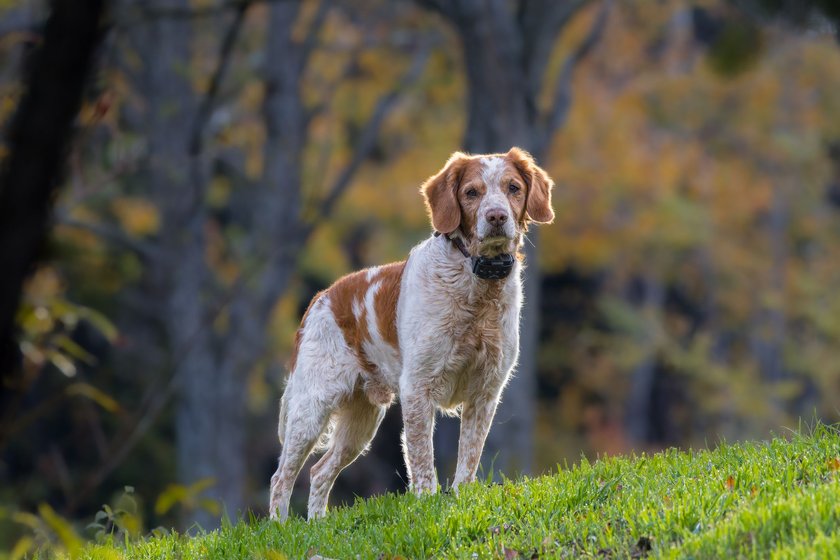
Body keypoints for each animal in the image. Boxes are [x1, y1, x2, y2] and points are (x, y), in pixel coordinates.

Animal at [270, 147, 556, 520]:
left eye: (513, 188)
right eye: (471, 192)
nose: (496, 216)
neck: (476, 286)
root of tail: (319, 300)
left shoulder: (485, 391)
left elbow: (469, 459)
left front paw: (461, 498)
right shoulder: (418, 386)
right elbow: (422, 463)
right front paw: (426, 504)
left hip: (362, 419)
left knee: (319, 472)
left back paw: (317, 524)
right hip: (311, 407)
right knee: (281, 477)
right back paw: (280, 526)